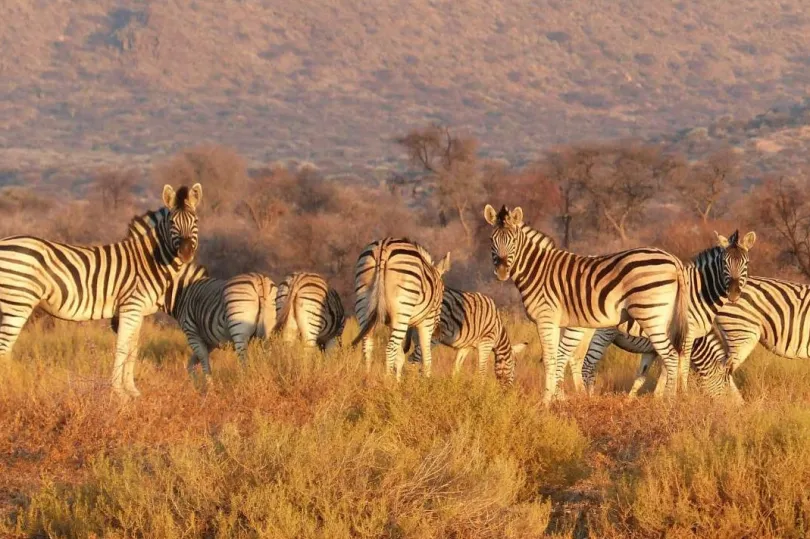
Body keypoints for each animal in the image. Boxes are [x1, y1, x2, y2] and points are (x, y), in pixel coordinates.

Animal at [0, 183, 202, 398]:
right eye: (172, 222)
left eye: (196, 221)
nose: (186, 253)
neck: (149, 260)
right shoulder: (130, 307)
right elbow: (122, 348)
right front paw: (119, 393)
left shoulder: (137, 312)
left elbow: (133, 348)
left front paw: (133, 391)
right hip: (18, 303)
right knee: (4, 348)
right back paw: (9, 391)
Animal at [112, 264, 277, 383]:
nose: (114, 326)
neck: (181, 294)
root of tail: (259, 280)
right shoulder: (209, 341)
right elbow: (191, 365)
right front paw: (199, 388)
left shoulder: (192, 333)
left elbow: (203, 362)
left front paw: (209, 390)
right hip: (267, 330)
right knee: (267, 356)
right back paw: (267, 376)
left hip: (239, 330)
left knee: (244, 361)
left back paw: (244, 384)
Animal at [351, 237, 450, 380]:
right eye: (443, 292)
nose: (439, 332)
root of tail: (384, 246)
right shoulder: (427, 322)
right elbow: (427, 356)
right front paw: (426, 381)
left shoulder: (391, 323)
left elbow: (400, 357)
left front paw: (398, 381)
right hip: (403, 310)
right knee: (390, 348)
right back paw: (386, 382)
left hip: (363, 301)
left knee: (367, 344)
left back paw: (367, 379)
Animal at [484, 204, 690, 405]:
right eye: (492, 240)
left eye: (513, 240)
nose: (501, 272)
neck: (538, 270)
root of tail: (674, 260)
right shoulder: (555, 322)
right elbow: (557, 358)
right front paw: (558, 399)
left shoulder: (545, 319)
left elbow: (550, 359)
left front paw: (546, 402)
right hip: (664, 319)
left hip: (650, 315)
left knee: (671, 356)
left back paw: (669, 402)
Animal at [576, 229, 756, 395]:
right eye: (724, 263)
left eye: (746, 263)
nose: (733, 294)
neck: (699, 293)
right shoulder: (687, 337)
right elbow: (681, 368)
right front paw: (681, 395)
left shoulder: (658, 347)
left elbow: (649, 375)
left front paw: (659, 398)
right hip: (600, 332)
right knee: (584, 363)